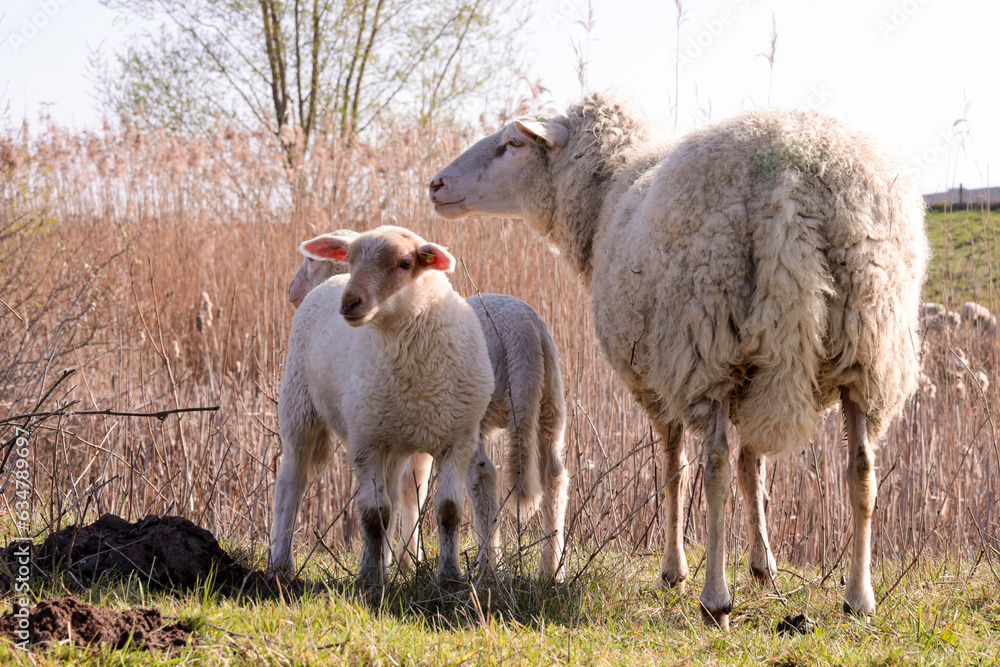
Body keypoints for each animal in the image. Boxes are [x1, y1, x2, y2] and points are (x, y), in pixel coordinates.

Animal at [268, 225, 494, 587]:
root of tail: (331, 282)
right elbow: (374, 514)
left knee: (393, 493)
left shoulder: (458, 441)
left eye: (406, 263)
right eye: (351, 258)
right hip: (299, 406)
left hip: (394, 437)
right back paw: (281, 565)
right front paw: (371, 581)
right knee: (292, 482)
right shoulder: (366, 442)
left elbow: (447, 511)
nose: (349, 302)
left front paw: (449, 577)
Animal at [286, 233, 569, 579]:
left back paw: (488, 566)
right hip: (549, 403)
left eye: (312, 261)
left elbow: (411, 487)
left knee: (483, 475)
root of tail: (522, 332)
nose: (293, 293)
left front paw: (406, 560)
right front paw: (402, 560)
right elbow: (410, 488)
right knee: (554, 475)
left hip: (478, 415)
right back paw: (551, 570)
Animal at [429, 93, 929, 628]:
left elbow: (675, 468)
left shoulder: (657, 380)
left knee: (713, 466)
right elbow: (754, 468)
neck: (606, 194)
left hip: (704, 340)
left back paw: (716, 599)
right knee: (861, 467)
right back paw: (858, 597)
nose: (437, 185)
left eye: (513, 143)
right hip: (869, 343)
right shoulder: (754, 377)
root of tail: (791, 179)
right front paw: (763, 565)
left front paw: (674, 570)